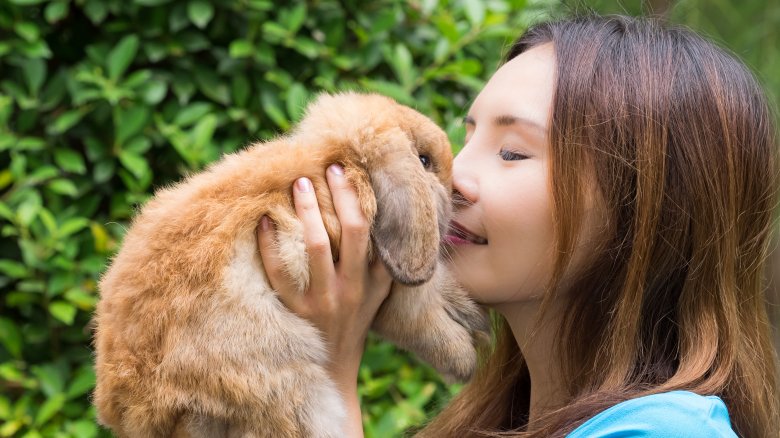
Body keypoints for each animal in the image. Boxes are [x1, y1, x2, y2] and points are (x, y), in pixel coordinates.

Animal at [91, 90, 488, 436]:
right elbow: (421, 316)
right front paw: (465, 359)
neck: (339, 161)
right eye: (424, 161)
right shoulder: (394, 295)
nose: (455, 192)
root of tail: (129, 408)